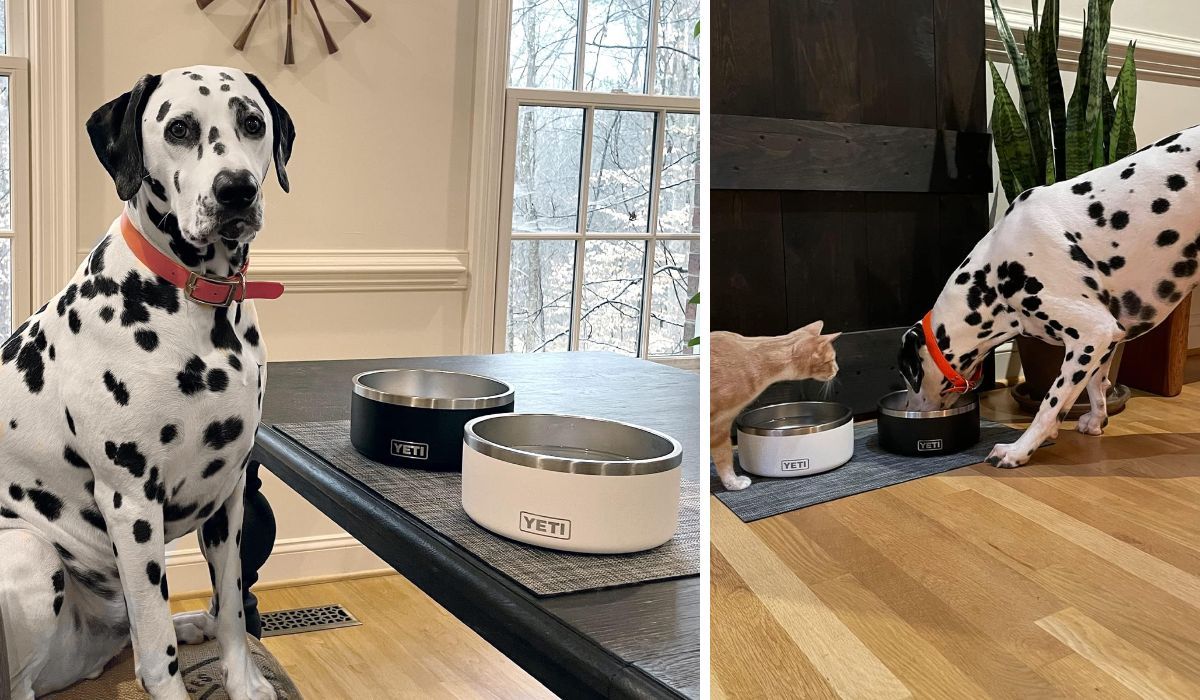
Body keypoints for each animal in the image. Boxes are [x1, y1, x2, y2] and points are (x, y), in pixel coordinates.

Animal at [0, 65, 294, 700]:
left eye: (251, 122)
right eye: (179, 128)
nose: (236, 190)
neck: (199, 303)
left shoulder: (230, 494)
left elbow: (233, 608)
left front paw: (244, 682)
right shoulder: (131, 505)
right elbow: (157, 656)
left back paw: (190, 623)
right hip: (30, 551)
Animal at [902, 126, 1200, 470]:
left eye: (906, 375)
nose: (909, 409)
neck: (996, 268)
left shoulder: (1091, 334)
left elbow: (1049, 405)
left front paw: (1019, 450)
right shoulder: (1107, 338)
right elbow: (1097, 385)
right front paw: (1096, 420)